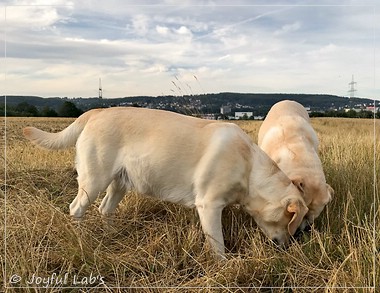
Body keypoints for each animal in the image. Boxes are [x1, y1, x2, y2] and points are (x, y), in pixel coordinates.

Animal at [24, 106, 308, 256]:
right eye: (291, 222)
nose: (289, 246)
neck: (249, 169)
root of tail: (96, 111)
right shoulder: (209, 206)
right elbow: (217, 244)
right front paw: (224, 266)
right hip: (94, 180)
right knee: (76, 209)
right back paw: (82, 240)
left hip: (120, 183)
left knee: (105, 209)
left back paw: (111, 235)